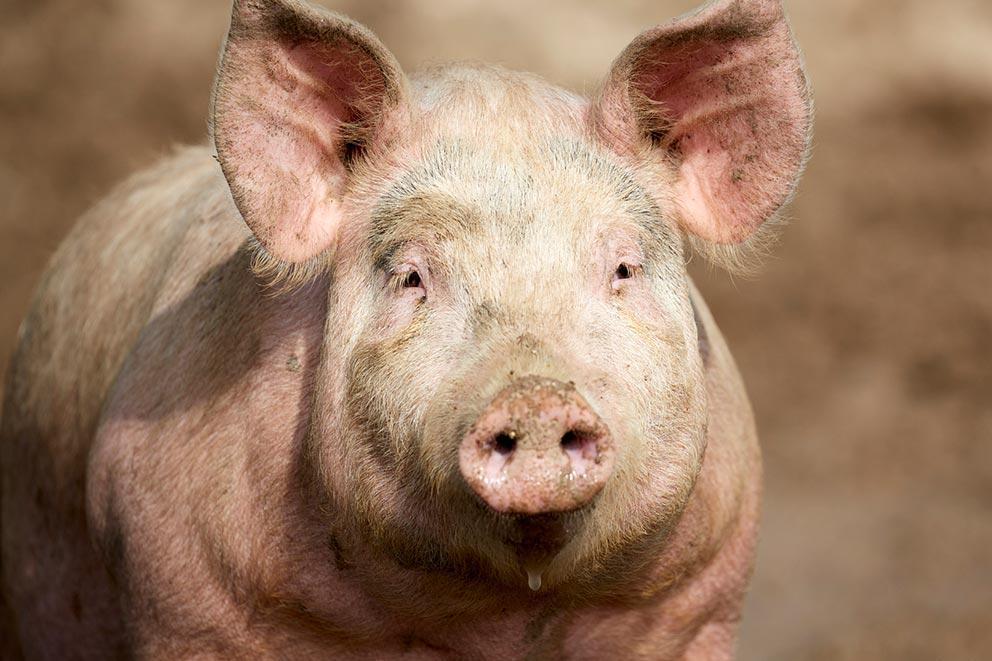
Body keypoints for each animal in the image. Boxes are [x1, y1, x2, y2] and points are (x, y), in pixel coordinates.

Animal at [0, 0, 808, 656]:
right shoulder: (183, 594)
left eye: (623, 269)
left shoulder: (699, 600)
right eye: (412, 276)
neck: (501, 617)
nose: (536, 395)